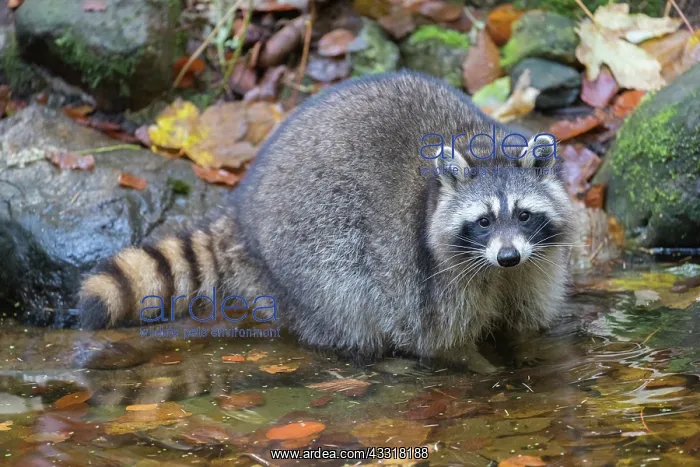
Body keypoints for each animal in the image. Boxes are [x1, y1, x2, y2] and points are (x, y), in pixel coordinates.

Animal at [79, 71, 575, 374]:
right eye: (484, 221)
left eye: (523, 214)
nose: (507, 256)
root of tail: (241, 211)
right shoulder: (434, 274)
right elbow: (437, 337)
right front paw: (476, 364)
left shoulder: (536, 263)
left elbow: (527, 319)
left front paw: (529, 352)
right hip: (308, 249)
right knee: (345, 299)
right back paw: (367, 354)